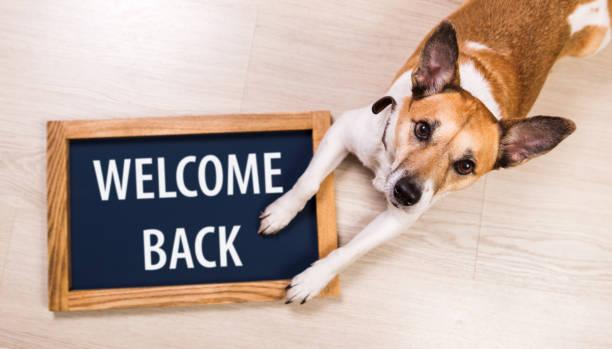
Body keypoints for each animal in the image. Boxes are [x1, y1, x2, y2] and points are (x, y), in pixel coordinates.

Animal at [256, 0, 608, 302]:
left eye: (466, 166)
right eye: (422, 129)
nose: (406, 193)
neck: (386, 163)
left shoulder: (399, 218)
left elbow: (352, 250)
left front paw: (316, 278)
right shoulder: (342, 131)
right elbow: (307, 183)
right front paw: (281, 212)